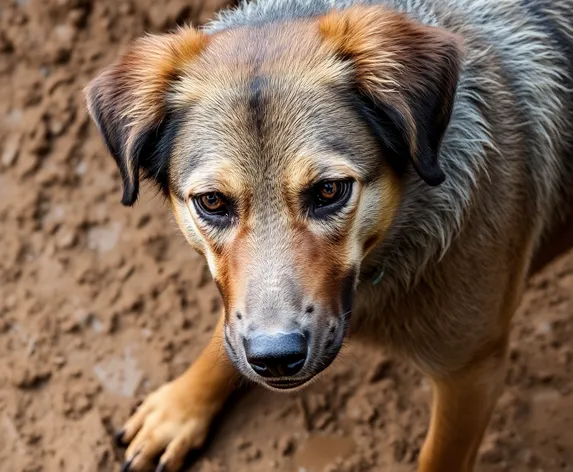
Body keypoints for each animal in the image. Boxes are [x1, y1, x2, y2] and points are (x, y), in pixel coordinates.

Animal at [84, 1, 572, 470]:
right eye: (212, 202)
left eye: (329, 191)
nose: (275, 358)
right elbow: (223, 335)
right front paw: (179, 409)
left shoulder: (471, 372)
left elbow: (438, 458)